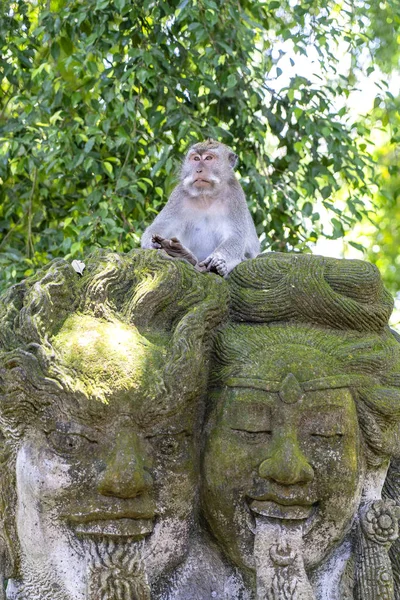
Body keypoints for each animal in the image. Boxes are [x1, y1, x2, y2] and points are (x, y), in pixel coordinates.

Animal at [141, 138, 260, 276]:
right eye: (196, 159)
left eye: (208, 158)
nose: (198, 170)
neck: (206, 196)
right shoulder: (179, 195)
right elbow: (161, 225)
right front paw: (151, 243)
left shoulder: (235, 196)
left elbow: (236, 235)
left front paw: (216, 259)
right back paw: (183, 254)